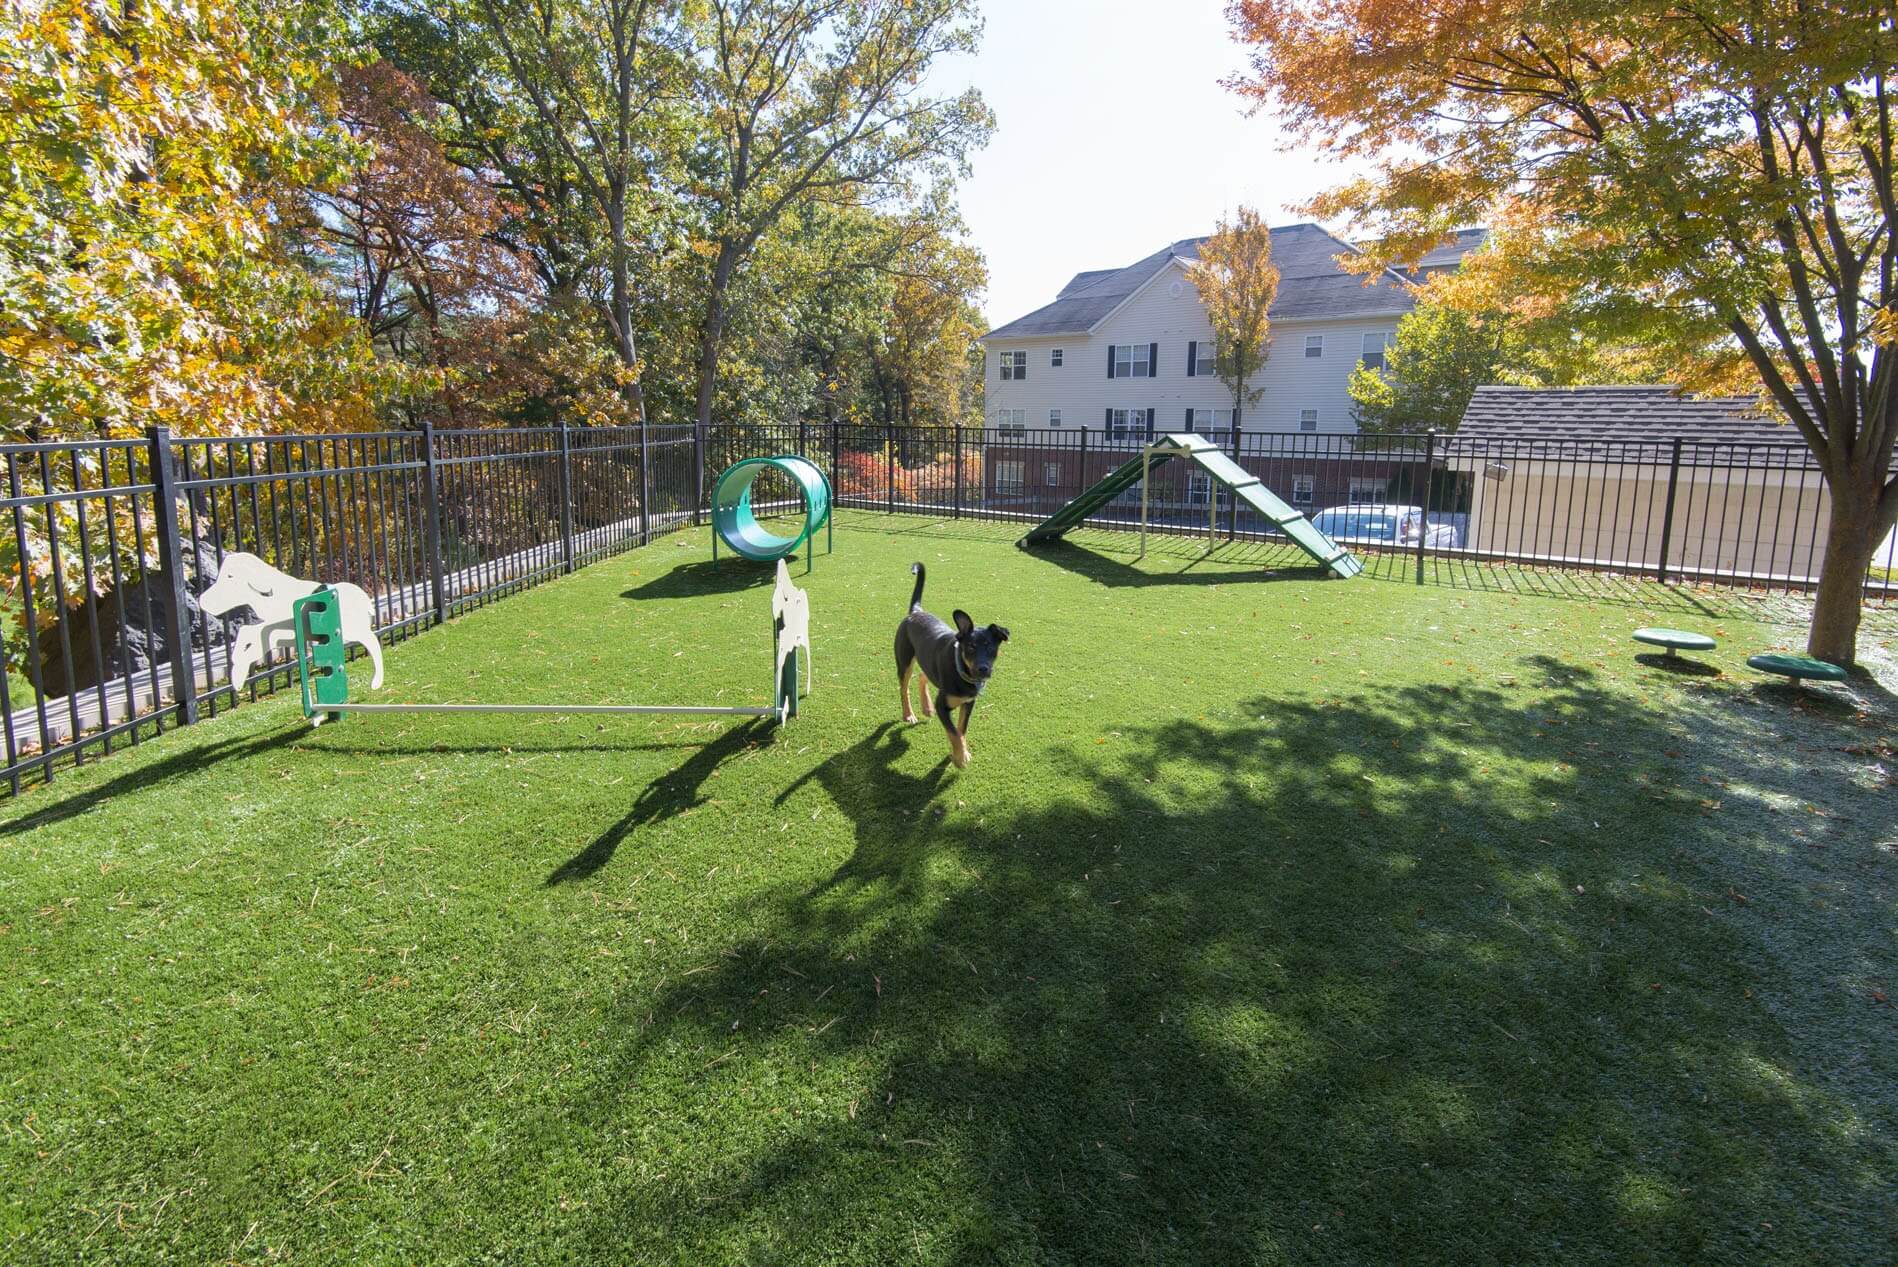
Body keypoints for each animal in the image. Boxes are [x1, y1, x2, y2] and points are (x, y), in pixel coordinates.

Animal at [892, 565, 1009, 773]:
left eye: (990, 648)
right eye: (970, 647)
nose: (983, 669)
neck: (962, 673)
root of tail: (915, 612)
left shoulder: (969, 703)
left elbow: (961, 729)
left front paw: (961, 753)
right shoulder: (942, 706)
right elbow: (954, 732)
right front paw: (960, 758)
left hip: (926, 660)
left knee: (922, 675)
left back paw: (926, 707)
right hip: (904, 660)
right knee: (904, 689)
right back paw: (909, 714)